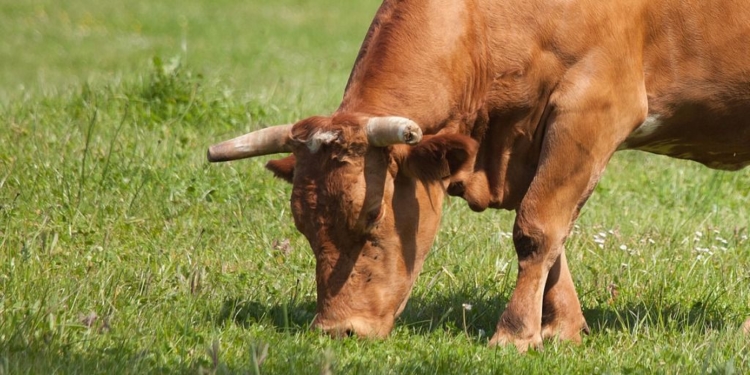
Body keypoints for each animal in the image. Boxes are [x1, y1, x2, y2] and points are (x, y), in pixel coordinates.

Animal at [207, 0, 750, 352]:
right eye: (303, 227)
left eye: (372, 219)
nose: (336, 331)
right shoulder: (529, 138)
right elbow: (554, 236)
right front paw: (562, 330)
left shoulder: (595, 107)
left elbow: (537, 226)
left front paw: (514, 334)